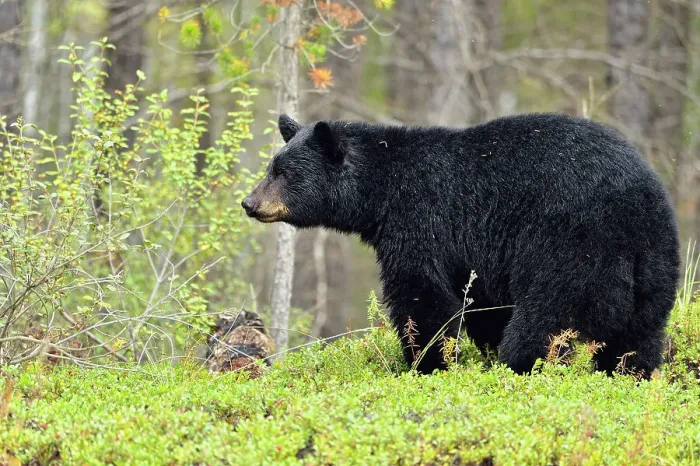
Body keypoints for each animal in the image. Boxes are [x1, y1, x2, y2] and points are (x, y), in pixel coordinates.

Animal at [242, 112, 680, 377]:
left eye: (284, 173)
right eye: (270, 167)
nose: (249, 203)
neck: (382, 194)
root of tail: (635, 208)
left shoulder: (423, 221)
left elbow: (422, 297)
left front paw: (426, 362)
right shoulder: (478, 256)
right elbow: (482, 304)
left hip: (573, 251)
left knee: (542, 324)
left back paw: (519, 367)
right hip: (655, 266)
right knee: (638, 337)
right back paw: (629, 373)